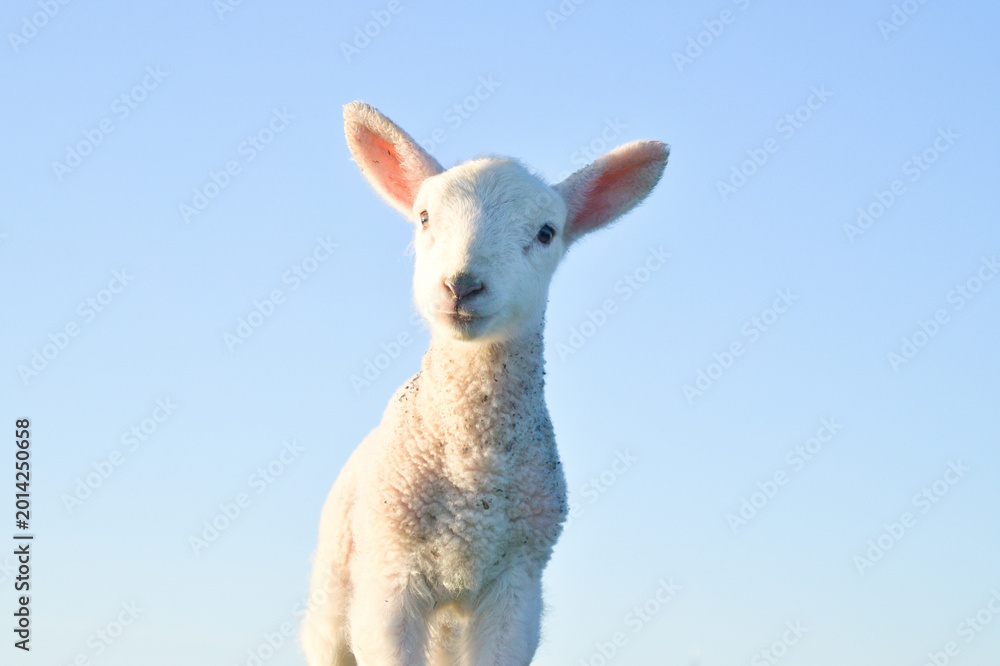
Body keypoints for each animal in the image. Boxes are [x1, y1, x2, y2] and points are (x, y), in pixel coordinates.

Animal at [301, 101, 668, 666]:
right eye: (424, 217)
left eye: (546, 232)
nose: (463, 284)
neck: (472, 467)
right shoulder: (390, 574)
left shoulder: (517, 582)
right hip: (333, 598)